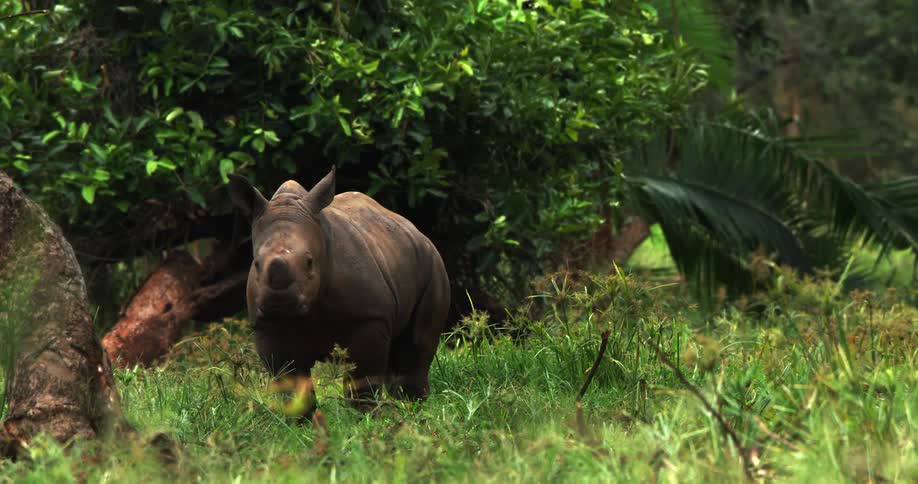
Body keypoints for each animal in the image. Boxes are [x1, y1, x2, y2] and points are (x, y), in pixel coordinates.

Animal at [228, 167, 450, 409]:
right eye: (256, 264)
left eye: (309, 262)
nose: (279, 302)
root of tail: (415, 230)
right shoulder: (266, 326)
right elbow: (290, 381)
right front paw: (300, 416)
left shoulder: (369, 318)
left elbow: (363, 377)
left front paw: (365, 413)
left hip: (432, 263)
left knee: (417, 345)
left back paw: (413, 406)